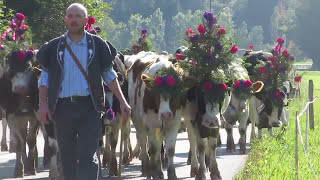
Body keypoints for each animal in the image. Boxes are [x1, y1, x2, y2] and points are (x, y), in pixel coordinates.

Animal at [124, 50, 185, 179]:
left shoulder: (174, 122)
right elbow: (153, 148)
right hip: (138, 120)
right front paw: (156, 173)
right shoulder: (151, 124)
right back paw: (147, 168)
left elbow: (170, 149)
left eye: (175, 92)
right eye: (155, 93)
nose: (166, 114)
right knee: (143, 141)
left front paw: (171, 174)